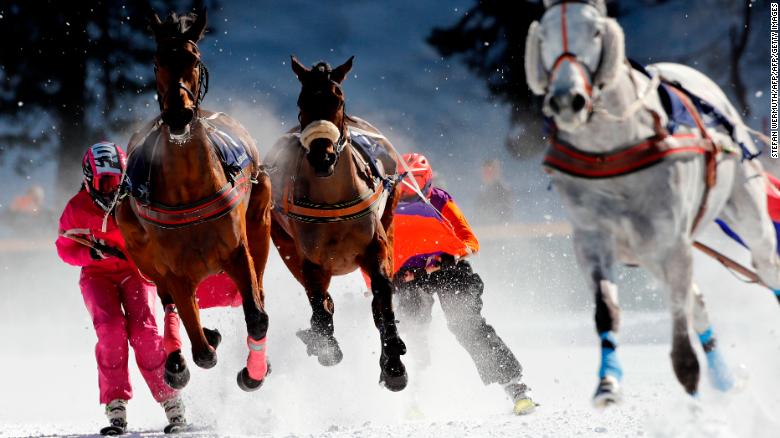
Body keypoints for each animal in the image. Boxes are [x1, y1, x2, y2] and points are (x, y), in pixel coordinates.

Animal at [114, 10, 274, 392]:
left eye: (194, 59)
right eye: (158, 61)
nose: (178, 115)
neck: (190, 187)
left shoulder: (237, 251)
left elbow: (257, 317)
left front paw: (253, 374)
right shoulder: (174, 270)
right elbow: (201, 349)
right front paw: (194, 351)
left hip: (259, 220)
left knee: (260, 288)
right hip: (141, 252)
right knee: (169, 303)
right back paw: (179, 358)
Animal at [266, 57, 408, 390]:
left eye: (338, 99)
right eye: (302, 101)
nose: (323, 157)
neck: (332, 204)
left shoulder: (375, 244)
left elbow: (382, 291)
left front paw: (393, 362)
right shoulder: (308, 259)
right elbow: (319, 302)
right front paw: (325, 346)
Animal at [524, 0, 780, 406]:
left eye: (595, 31)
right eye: (544, 34)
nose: (566, 101)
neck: (610, 151)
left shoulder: (671, 240)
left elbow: (679, 317)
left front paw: (688, 377)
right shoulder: (593, 239)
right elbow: (606, 310)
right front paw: (608, 382)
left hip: (747, 210)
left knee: (766, 268)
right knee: (699, 304)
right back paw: (723, 380)